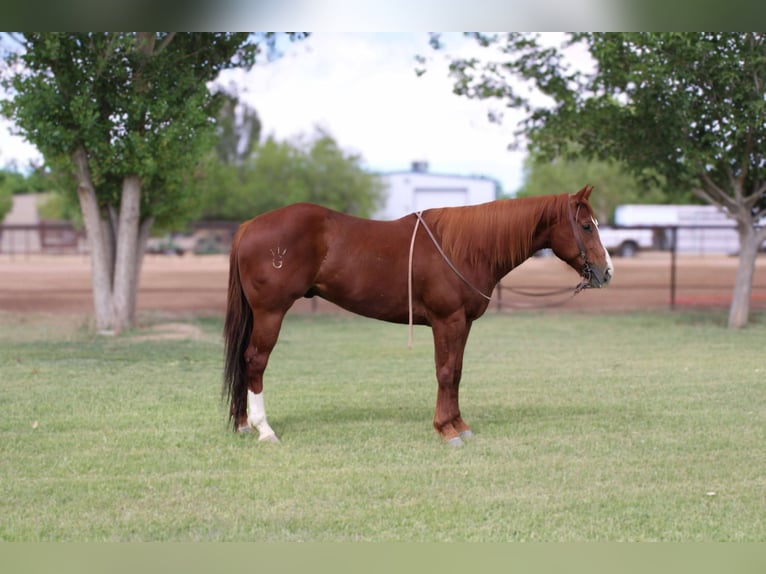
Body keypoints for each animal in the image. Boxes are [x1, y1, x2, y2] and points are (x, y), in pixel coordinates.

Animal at [223, 185, 613, 445]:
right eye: (587, 226)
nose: (606, 272)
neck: (465, 248)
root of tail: (249, 226)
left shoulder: (462, 323)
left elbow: (456, 372)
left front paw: (460, 425)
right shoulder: (447, 320)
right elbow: (445, 372)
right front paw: (446, 429)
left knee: (244, 360)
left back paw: (242, 424)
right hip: (271, 313)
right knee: (255, 361)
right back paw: (264, 429)